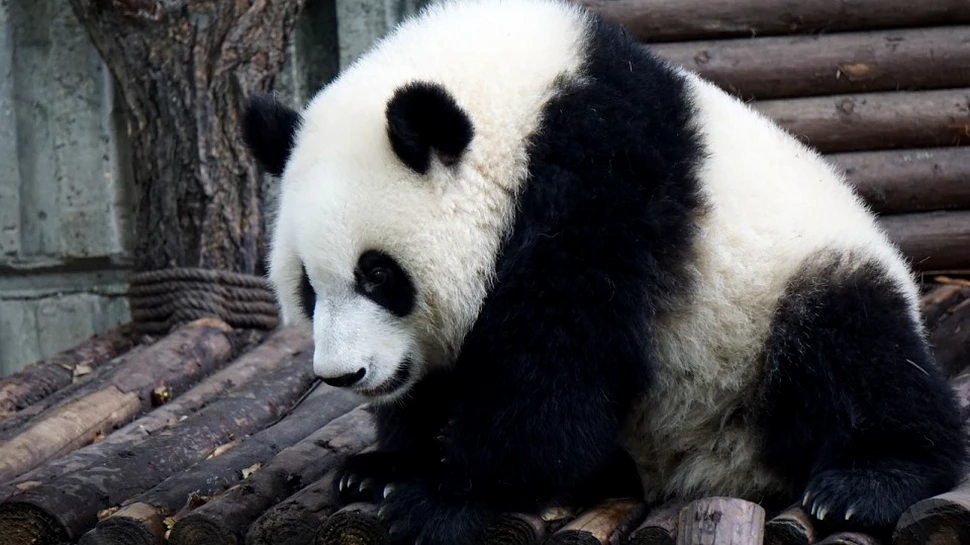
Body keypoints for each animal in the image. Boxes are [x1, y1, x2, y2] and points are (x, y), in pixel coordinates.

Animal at [241, 0, 968, 543]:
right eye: (307, 286)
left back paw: (865, 481)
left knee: (853, 347)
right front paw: (383, 467)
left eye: (378, 274)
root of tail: (715, 467)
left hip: (783, 299)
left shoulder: (600, 181)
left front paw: (446, 496)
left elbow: (558, 361)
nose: (345, 374)